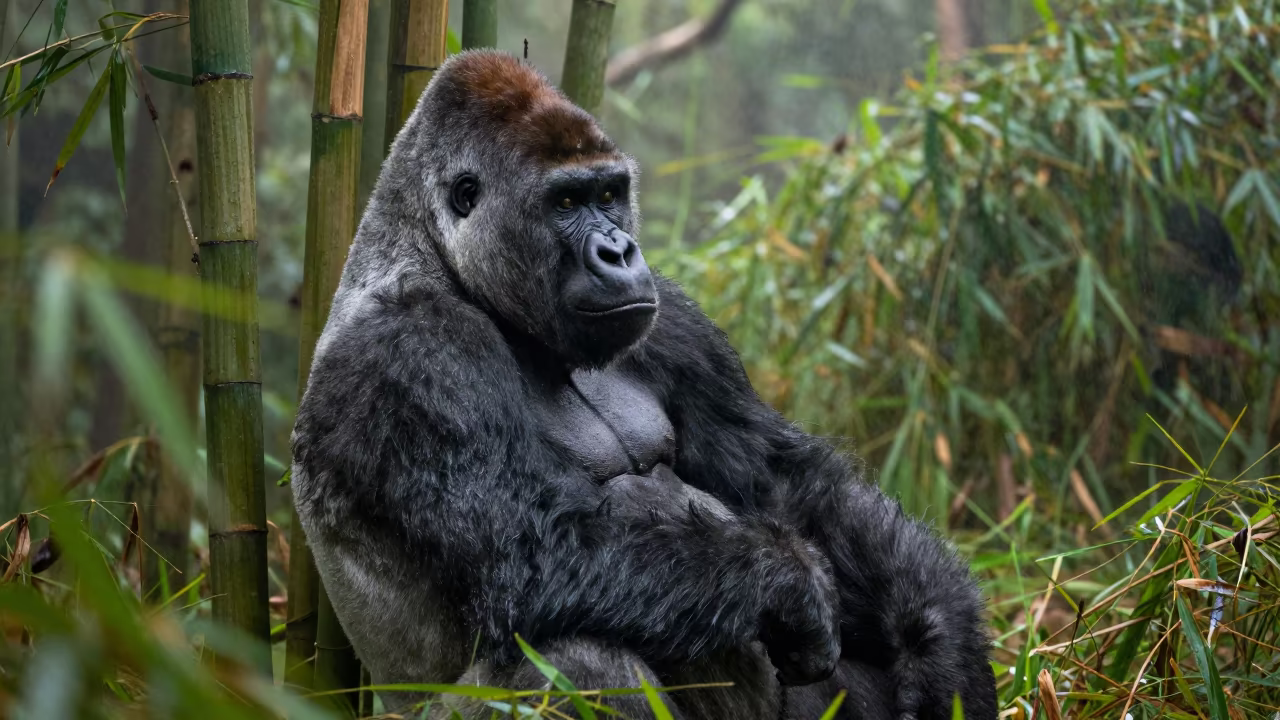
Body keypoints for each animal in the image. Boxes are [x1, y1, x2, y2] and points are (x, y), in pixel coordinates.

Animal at [290, 49, 997, 720]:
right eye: (566, 203)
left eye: (609, 194)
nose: (620, 251)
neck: (435, 252)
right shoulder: (412, 353)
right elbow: (535, 556)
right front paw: (788, 582)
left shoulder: (675, 322)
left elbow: (788, 486)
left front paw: (943, 642)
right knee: (578, 660)